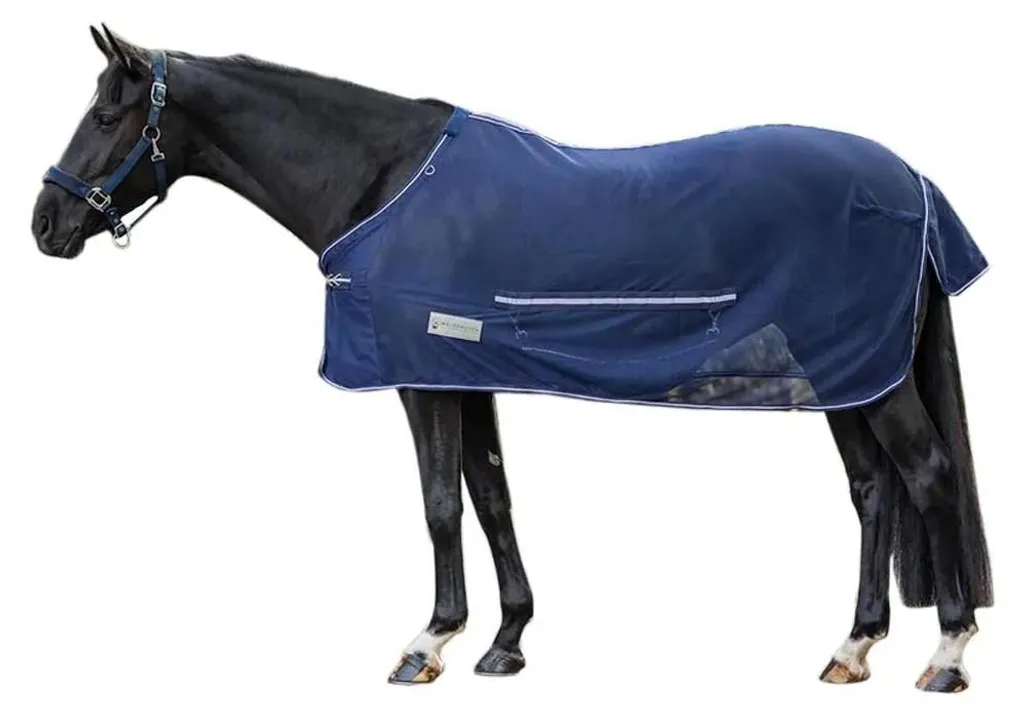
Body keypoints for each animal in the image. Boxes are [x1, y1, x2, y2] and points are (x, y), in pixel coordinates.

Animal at [30, 25, 993, 692]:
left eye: (107, 113)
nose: (45, 222)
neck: (383, 181)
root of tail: (912, 181)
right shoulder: (466, 374)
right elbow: (489, 496)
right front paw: (505, 641)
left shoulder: (421, 377)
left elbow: (439, 505)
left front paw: (428, 641)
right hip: (847, 370)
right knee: (872, 489)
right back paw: (853, 646)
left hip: (867, 374)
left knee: (928, 472)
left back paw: (946, 653)